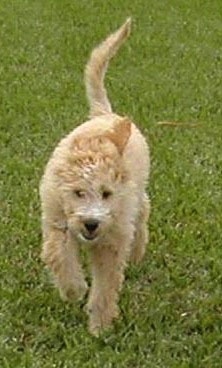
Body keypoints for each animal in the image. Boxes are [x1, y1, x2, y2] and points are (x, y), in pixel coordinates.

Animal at [40, 18, 151, 336]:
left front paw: (100, 326)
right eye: (78, 192)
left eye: (107, 194)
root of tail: (105, 114)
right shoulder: (57, 218)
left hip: (137, 195)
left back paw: (137, 253)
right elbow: (60, 255)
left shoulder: (112, 239)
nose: (91, 224)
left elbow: (106, 285)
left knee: (143, 211)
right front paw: (74, 289)